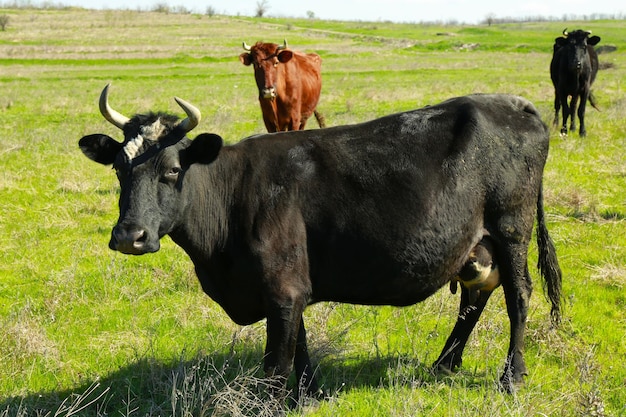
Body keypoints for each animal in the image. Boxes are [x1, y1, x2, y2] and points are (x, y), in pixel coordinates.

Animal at [78, 84, 560, 400]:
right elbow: (301, 347)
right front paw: (308, 395)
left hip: (512, 229)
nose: (130, 236)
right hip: (476, 246)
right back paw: (444, 363)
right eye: (119, 168)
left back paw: (510, 378)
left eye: (173, 170)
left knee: (519, 295)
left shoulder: (283, 289)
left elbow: (276, 365)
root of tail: (513, 103)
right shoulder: (291, 285)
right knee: (476, 296)